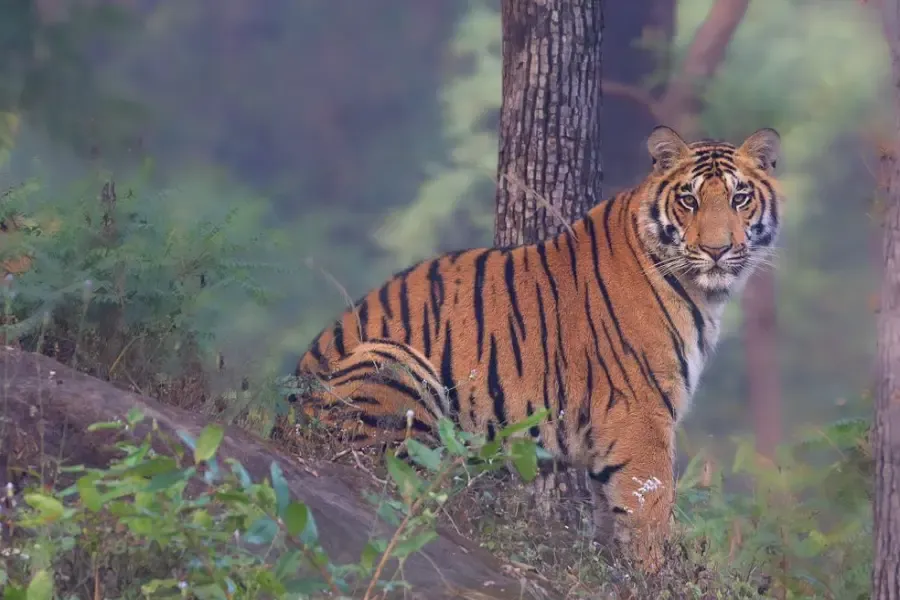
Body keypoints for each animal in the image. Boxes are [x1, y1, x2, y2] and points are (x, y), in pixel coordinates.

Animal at [287, 125, 783, 570]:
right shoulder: (641, 414)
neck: (703, 293)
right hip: (394, 363)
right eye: (689, 200)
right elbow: (650, 509)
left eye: (740, 198)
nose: (717, 250)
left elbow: (612, 513)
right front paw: (654, 575)